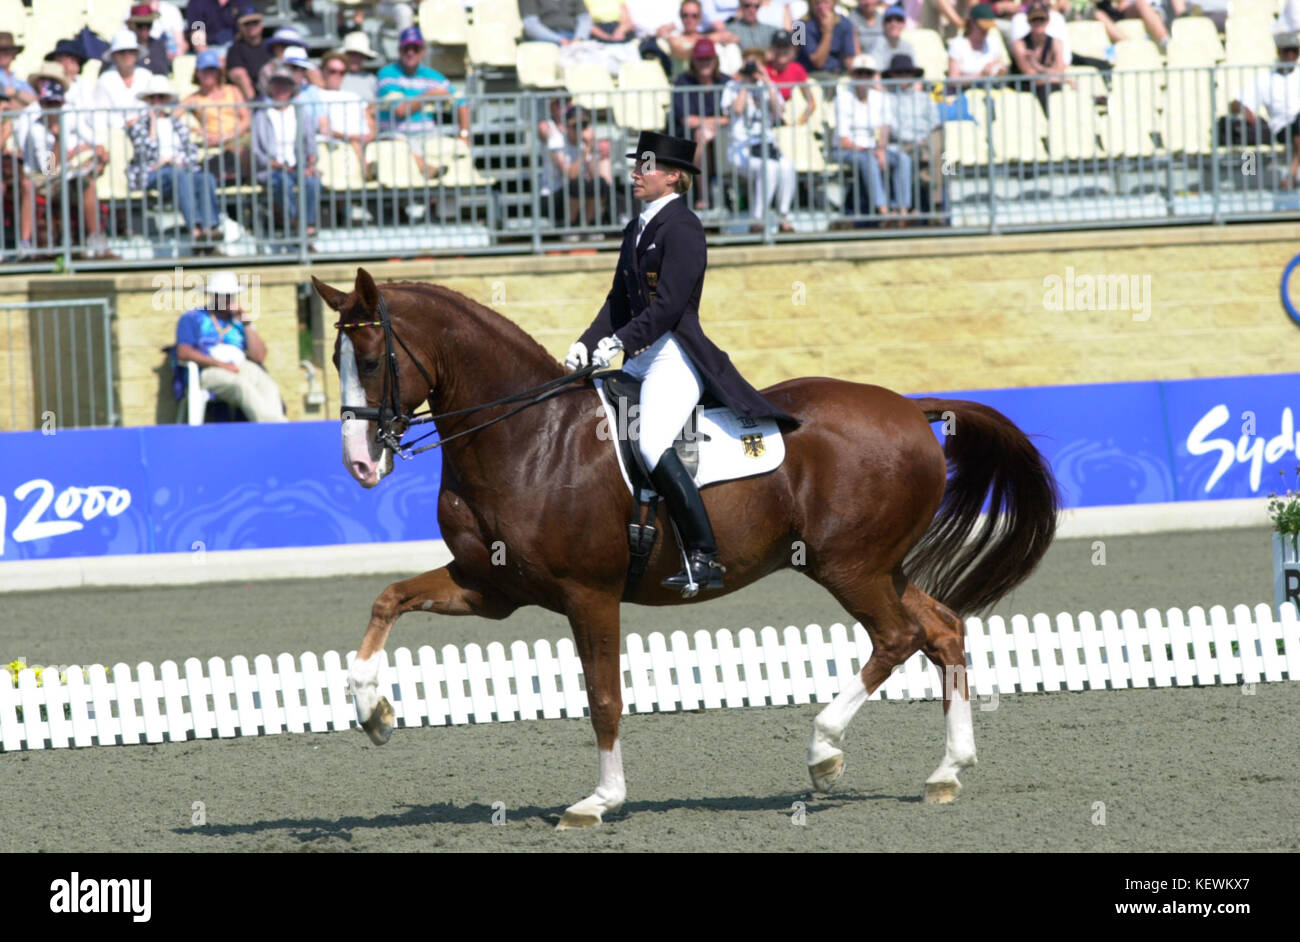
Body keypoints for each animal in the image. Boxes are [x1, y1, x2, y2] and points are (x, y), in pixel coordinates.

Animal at [312, 267, 1055, 826]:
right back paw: (947, 771)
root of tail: (910, 407)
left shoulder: (589, 594)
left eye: (371, 359)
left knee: (898, 638)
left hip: (848, 566)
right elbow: (388, 600)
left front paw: (599, 801)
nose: (359, 464)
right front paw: (372, 712)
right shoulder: (490, 587)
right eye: (335, 359)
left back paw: (824, 752)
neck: (527, 436)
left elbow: (603, 697)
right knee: (943, 630)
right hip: (877, 565)